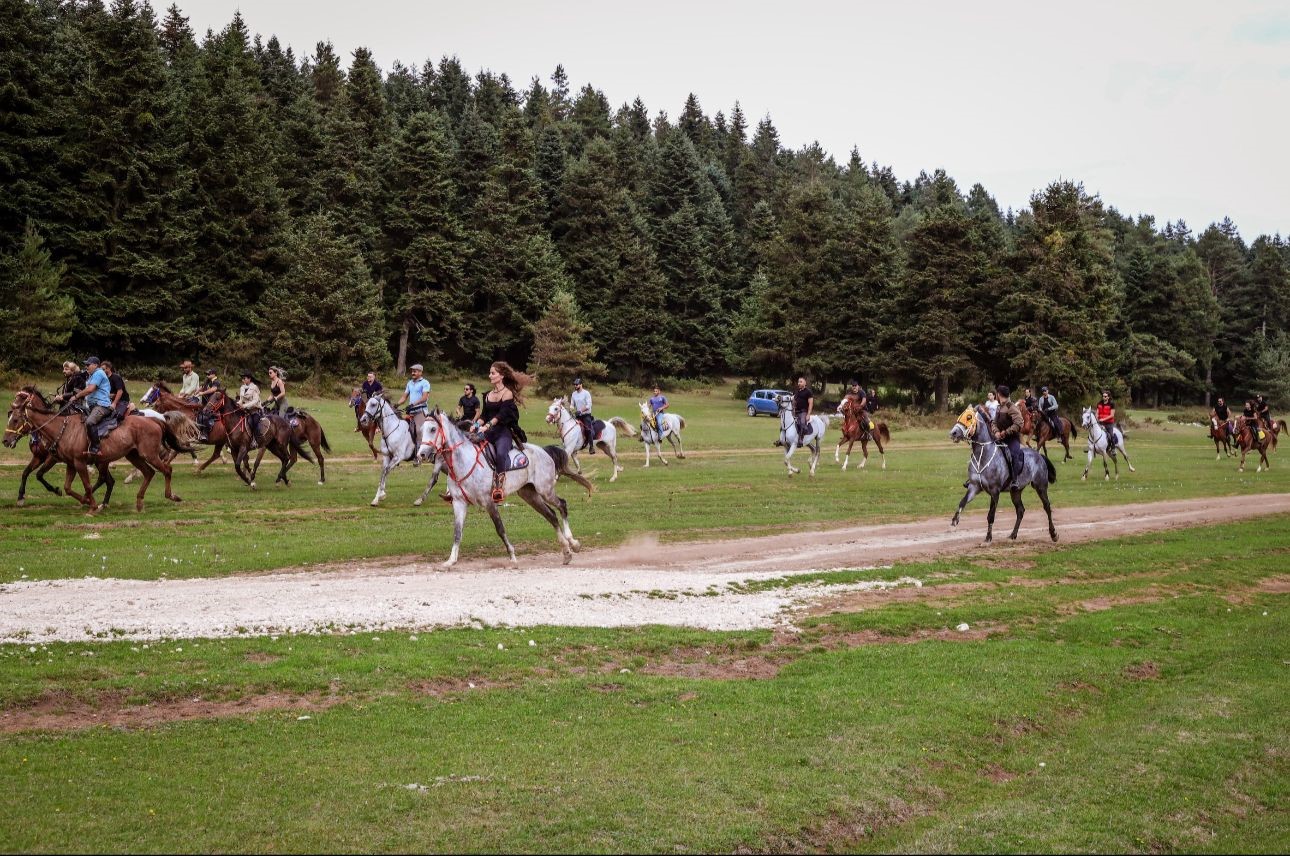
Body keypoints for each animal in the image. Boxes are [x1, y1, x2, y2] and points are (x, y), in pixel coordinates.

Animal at [5, 389, 198, 515]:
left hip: (148, 454)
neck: (62, 428)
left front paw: (91, 506)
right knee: (148, 473)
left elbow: (86, 484)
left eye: (15, 419)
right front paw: (86, 501)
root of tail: (157, 420)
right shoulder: (70, 463)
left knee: (166, 469)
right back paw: (138, 503)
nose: (5, 440)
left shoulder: (77, 462)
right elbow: (67, 487)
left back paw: (171, 496)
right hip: (133, 455)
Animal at [417, 409, 590, 567]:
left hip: (545, 490)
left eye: (433, 429)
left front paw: (512, 556)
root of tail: (544, 451)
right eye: (421, 430)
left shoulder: (488, 501)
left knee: (562, 505)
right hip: (529, 494)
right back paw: (566, 552)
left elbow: (500, 528)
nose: (421, 454)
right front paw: (451, 559)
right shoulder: (459, 503)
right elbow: (457, 532)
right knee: (551, 515)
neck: (464, 461)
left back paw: (573, 543)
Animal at [949, 407, 1057, 541]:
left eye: (969, 417)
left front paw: (988, 537)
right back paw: (1013, 534)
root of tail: (1039, 455)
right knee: (1020, 510)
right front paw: (955, 520)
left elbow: (991, 515)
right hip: (1016, 491)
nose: (953, 433)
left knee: (1047, 507)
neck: (983, 454)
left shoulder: (995, 491)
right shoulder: (974, 487)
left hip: (1040, 486)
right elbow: (962, 502)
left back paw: (1053, 534)